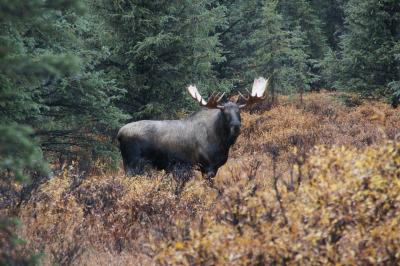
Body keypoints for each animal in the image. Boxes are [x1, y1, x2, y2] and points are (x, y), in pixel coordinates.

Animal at [118, 76, 268, 182]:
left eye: (239, 111)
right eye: (224, 112)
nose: (236, 126)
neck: (223, 143)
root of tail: (119, 134)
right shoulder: (207, 167)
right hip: (133, 164)